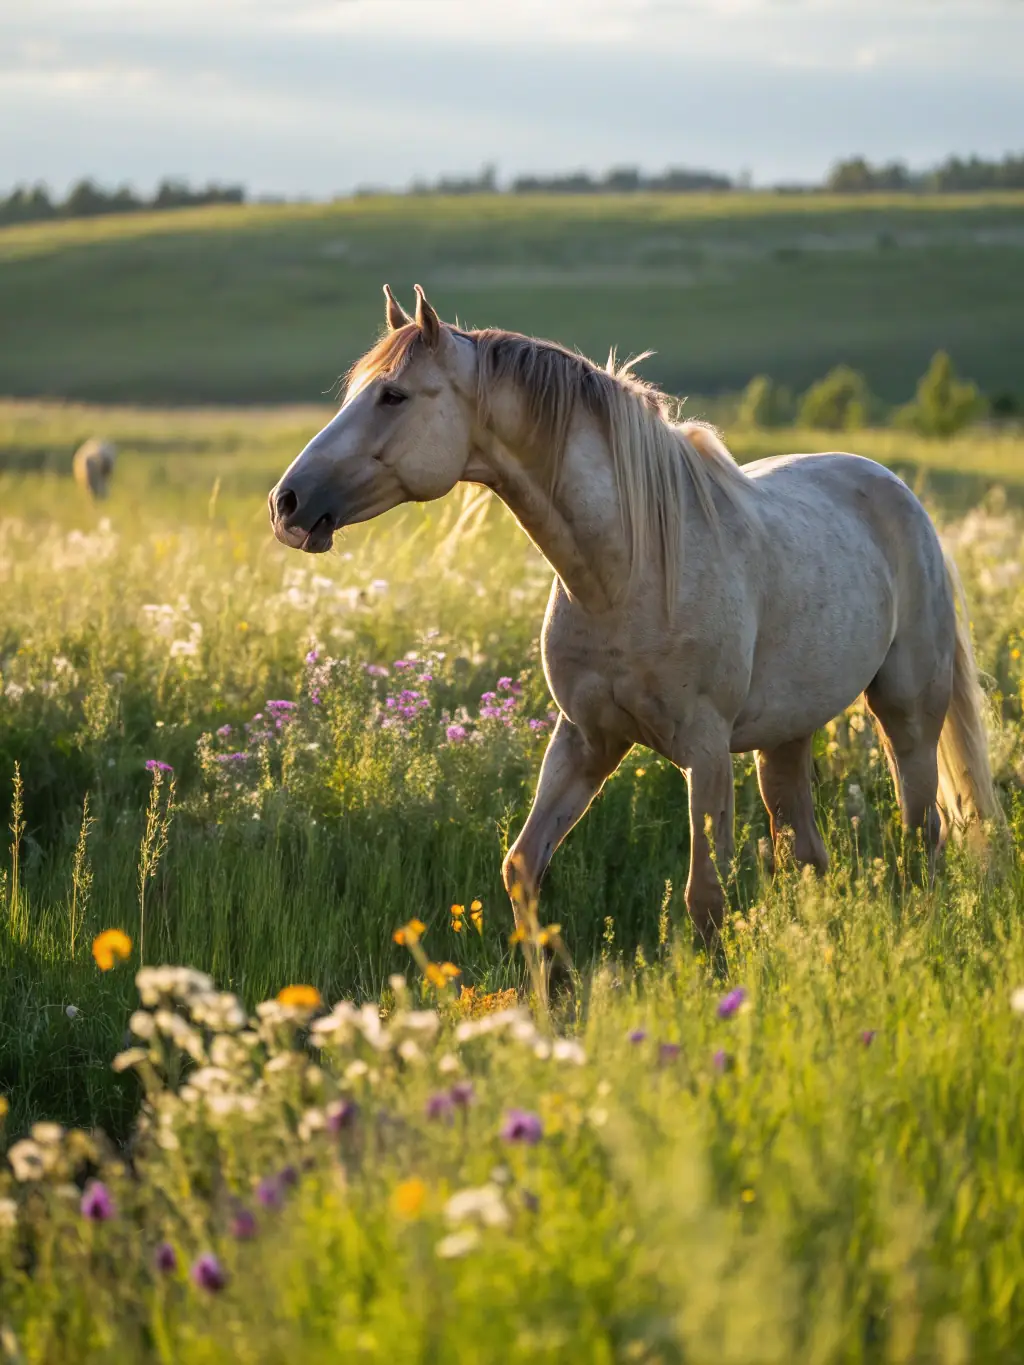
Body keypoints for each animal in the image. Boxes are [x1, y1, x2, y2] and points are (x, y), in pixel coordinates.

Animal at [269, 284, 999, 937]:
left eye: (393, 395)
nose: (288, 503)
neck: (626, 574)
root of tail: (899, 492)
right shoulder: (587, 738)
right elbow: (522, 869)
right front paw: (554, 996)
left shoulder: (705, 750)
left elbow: (706, 898)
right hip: (785, 735)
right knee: (808, 854)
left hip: (905, 714)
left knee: (923, 833)